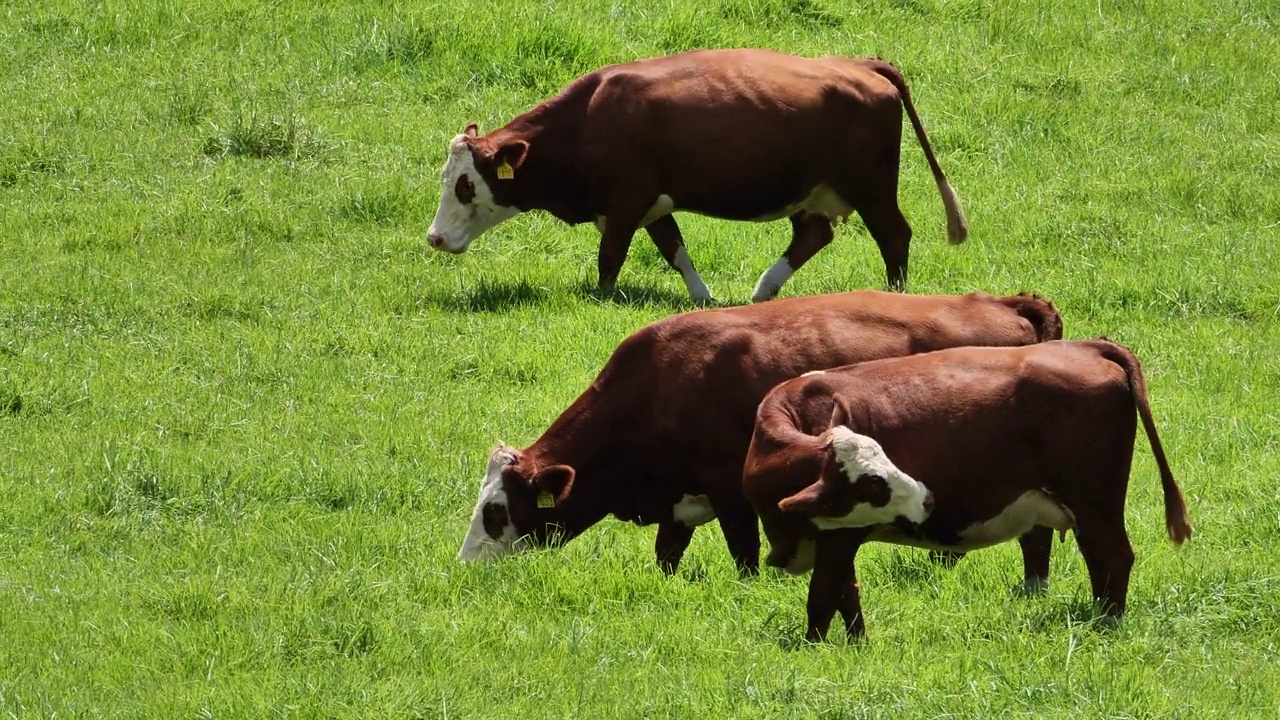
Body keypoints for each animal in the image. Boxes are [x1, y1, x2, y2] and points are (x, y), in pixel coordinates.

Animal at [424, 45, 962, 302]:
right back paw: (763, 290)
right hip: (814, 193)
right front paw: (703, 298)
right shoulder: (650, 203)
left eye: (466, 185)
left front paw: (602, 298)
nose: (434, 238)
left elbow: (609, 259)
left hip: (872, 188)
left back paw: (893, 295)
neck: (591, 117)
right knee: (813, 235)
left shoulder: (626, 202)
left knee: (894, 235)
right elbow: (675, 249)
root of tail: (860, 65)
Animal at [458, 285, 1059, 571]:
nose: (468, 567)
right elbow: (666, 557)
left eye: (497, 511)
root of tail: (1004, 303)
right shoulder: (678, 505)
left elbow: (745, 558)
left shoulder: (732, 497)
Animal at [747, 335, 1192, 638]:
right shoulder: (836, 537)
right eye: (874, 483)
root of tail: (1088, 346)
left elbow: (823, 598)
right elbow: (846, 595)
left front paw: (815, 648)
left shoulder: (840, 537)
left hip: (1095, 502)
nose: (927, 497)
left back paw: (1106, 624)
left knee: (1113, 558)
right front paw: (857, 645)